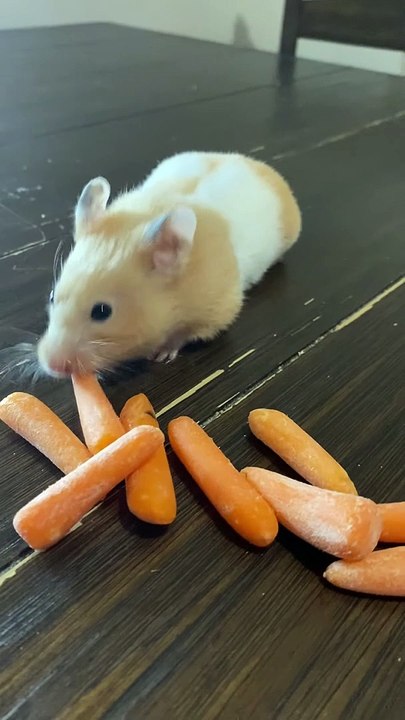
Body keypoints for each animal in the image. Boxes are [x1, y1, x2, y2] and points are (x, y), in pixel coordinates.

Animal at [37, 151, 301, 377]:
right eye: (51, 296)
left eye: (102, 311)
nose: (52, 366)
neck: (173, 300)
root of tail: (254, 162)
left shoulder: (216, 310)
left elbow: (185, 335)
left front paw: (162, 355)